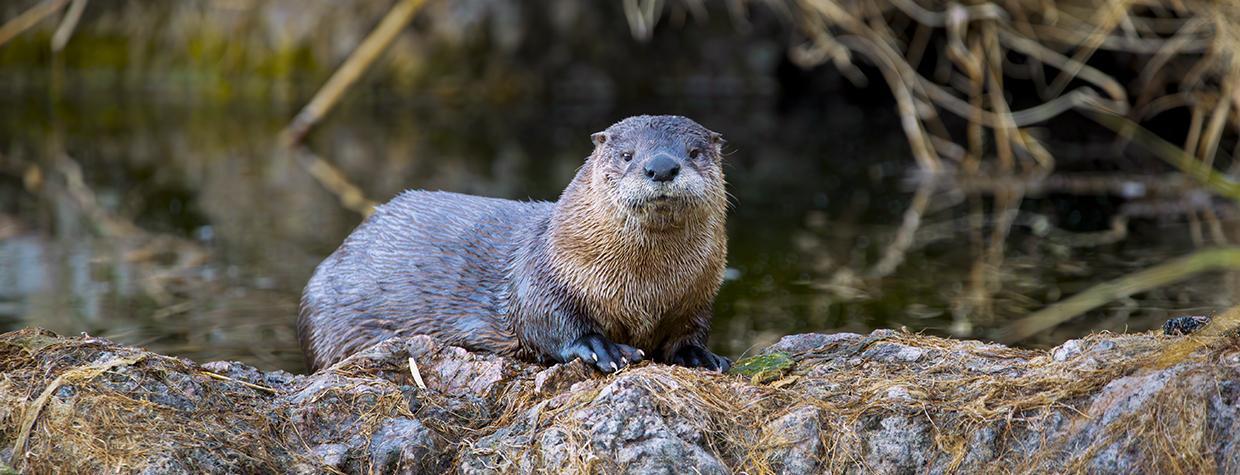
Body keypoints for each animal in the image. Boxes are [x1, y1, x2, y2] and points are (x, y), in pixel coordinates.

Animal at [298, 115, 731, 373]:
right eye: (627, 155)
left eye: (694, 152)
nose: (661, 166)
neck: (646, 288)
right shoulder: (542, 273)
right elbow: (545, 321)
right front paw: (603, 348)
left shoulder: (699, 294)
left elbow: (690, 331)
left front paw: (701, 355)